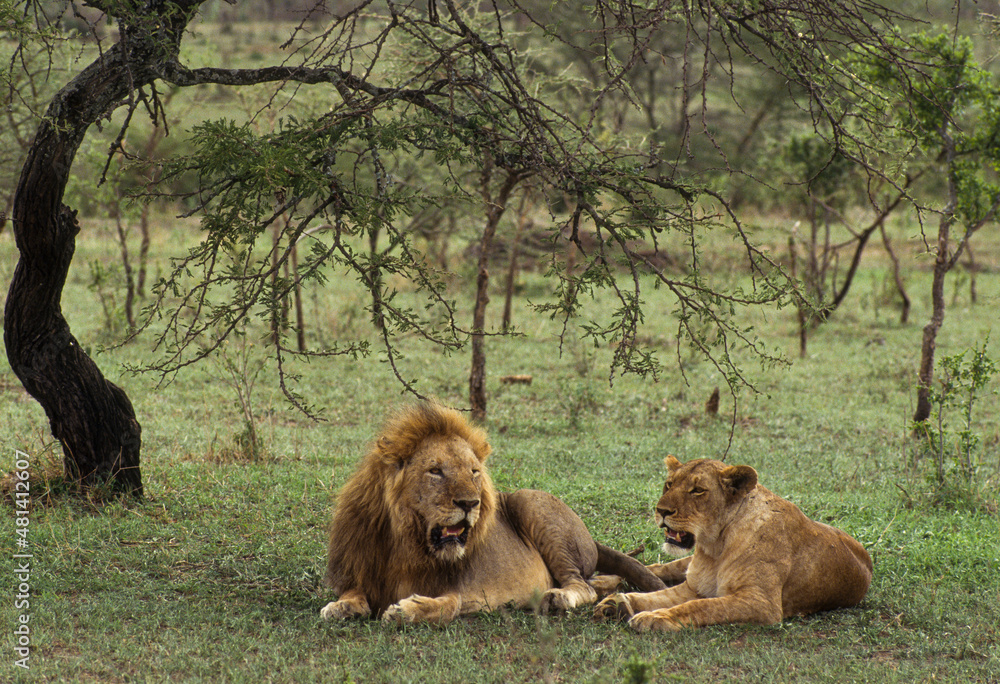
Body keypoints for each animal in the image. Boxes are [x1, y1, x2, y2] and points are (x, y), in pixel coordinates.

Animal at [319, 402, 665, 624]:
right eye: (436, 471)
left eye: (473, 472)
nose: (470, 503)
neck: (406, 542)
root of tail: (591, 539)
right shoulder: (361, 567)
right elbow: (354, 593)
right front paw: (340, 607)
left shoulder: (472, 591)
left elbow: (448, 604)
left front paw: (406, 610)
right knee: (603, 580)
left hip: (531, 503)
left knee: (583, 585)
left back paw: (557, 599)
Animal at [594, 455, 873, 631]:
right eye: (669, 484)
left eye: (697, 490)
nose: (661, 511)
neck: (715, 546)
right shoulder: (693, 586)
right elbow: (657, 596)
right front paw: (617, 604)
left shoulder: (762, 603)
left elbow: (700, 606)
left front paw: (655, 616)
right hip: (684, 564)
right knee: (654, 568)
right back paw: (603, 581)